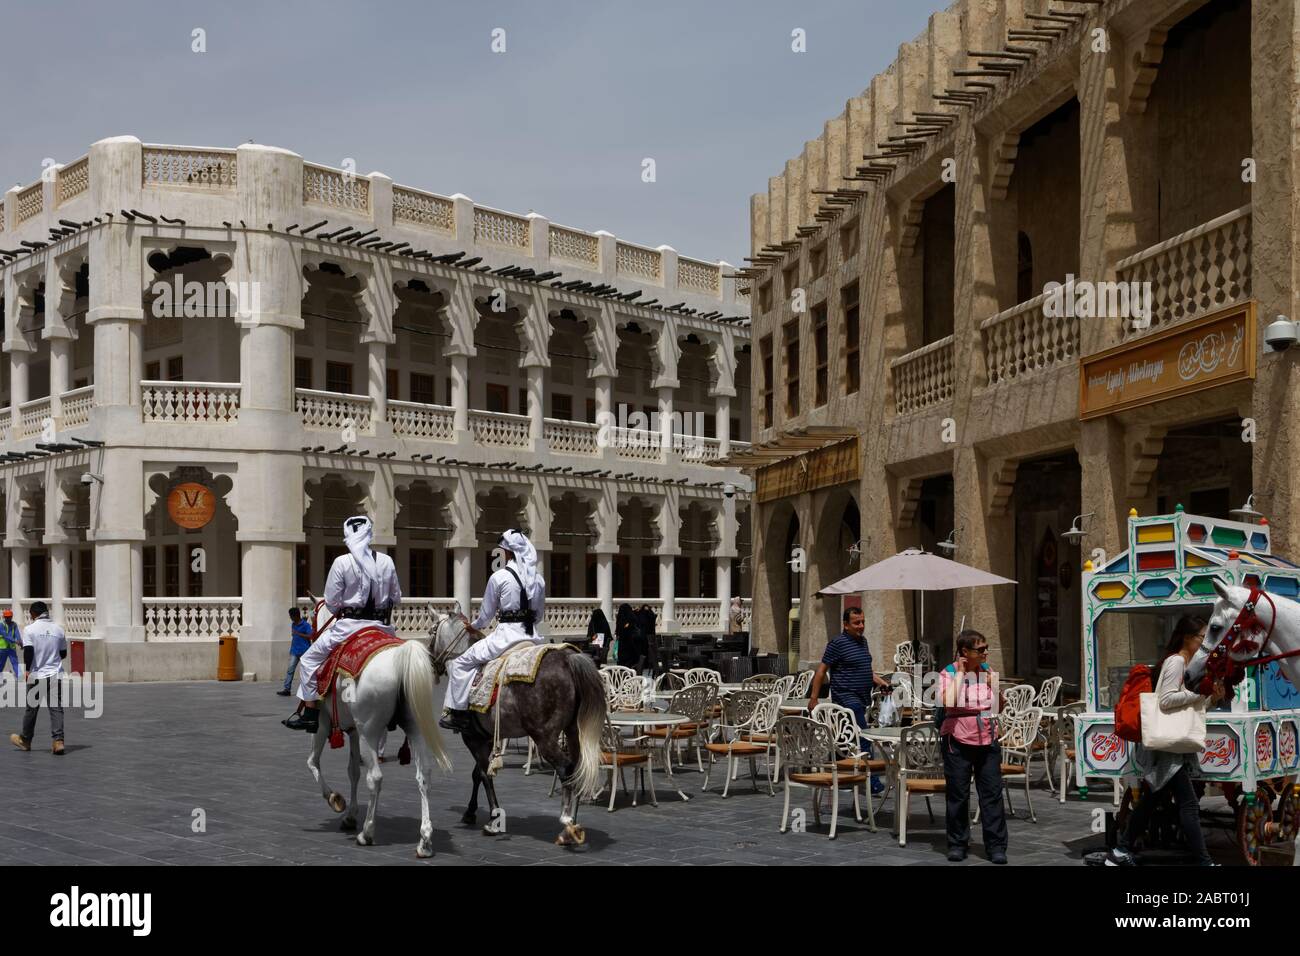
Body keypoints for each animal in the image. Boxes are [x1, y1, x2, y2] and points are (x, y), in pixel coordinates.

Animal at [304, 600, 452, 858]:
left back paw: (367, 833)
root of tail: (400, 658)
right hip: (414, 726)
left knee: (375, 778)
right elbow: (352, 770)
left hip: (369, 731)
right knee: (424, 775)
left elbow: (314, 762)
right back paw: (424, 841)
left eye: (312, 616)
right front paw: (350, 815)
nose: (311, 635)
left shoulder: (323, 722)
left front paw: (335, 799)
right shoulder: (353, 730)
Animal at [428, 613, 605, 842]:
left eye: (432, 631)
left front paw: (493, 821)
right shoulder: (485, 737)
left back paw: (566, 823)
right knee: (576, 768)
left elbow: (484, 774)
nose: (431, 663)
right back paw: (573, 824)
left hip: (545, 737)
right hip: (573, 731)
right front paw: (470, 812)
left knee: (565, 768)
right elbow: (478, 774)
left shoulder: (471, 737)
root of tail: (568, 659)